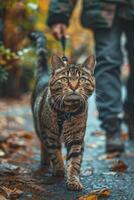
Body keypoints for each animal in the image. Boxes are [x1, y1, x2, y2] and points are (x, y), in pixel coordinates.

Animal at [30, 31, 95, 191]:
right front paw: (59, 170)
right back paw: (45, 162)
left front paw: (73, 180)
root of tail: (46, 72)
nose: (73, 86)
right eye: (65, 79)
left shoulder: (76, 137)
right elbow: (55, 153)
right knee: (43, 144)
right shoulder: (50, 134)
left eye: (82, 79)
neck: (67, 109)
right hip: (38, 125)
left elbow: (75, 160)